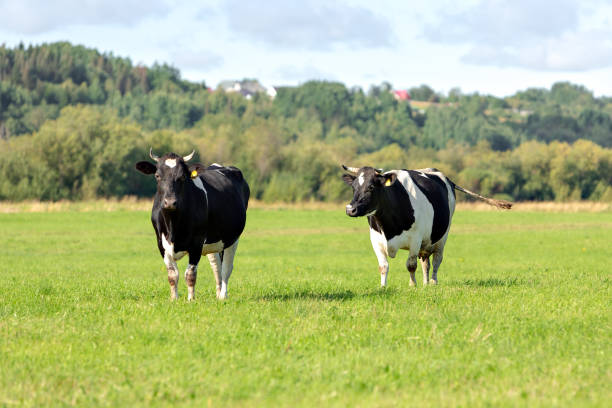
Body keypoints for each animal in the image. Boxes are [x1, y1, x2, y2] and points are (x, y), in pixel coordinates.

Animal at [136, 149, 249, 300]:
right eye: (157, 175)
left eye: (182, 177)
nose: (170, 202)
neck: (173, 227)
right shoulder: (161, 244)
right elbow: (172, 275)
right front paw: (174, 299)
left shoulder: (197, 243)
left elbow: (190, 275)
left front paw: (191, 299)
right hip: (214, 240)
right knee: (216, 266)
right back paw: (218, 293)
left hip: (232, 238)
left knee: (226, 268)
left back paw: (223, 295)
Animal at [342, 166, 510, 286]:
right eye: (354, 187)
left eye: (371, 187)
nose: (350, 209)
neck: (389, 228)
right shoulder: (376, 240)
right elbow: (383, 266)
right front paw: (383, 287)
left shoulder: (415, 239)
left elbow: (410, 265)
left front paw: (412, 285)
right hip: (426, 243)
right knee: (425, 263)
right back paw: (425, 283)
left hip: (442, 237)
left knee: (436, 260)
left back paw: (433, 282)